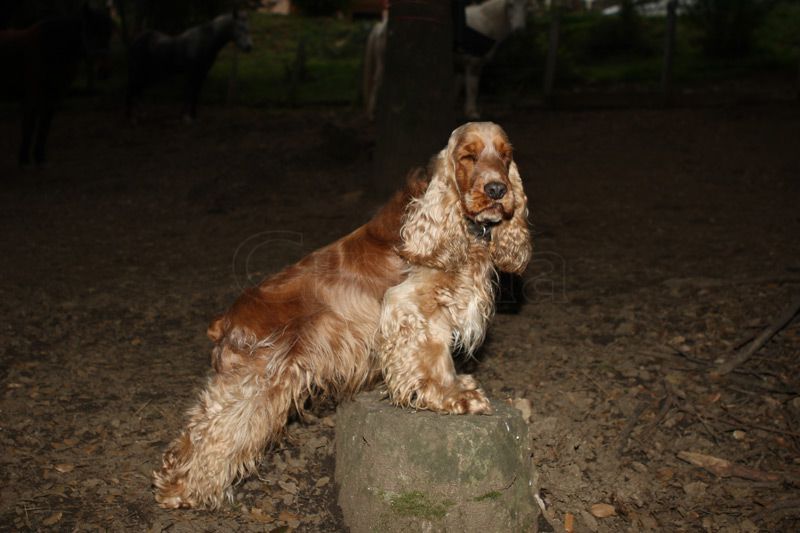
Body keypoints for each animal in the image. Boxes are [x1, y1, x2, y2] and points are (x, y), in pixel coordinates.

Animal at [0, 4, 113, 166]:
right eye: (91, 33)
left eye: (109, 34)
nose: (105, 70)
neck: (50, 49)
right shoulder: (32, 98)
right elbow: (29, 127)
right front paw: (24, 161)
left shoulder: (51, 98)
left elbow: (44, 126)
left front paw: (39, 159)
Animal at [363, 0, 528, 121]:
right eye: (510, 5)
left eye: (526, 6)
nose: (519, 29)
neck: (486, 23)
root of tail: (380, 26)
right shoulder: (474, 63)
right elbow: (472, 87)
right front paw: (472, 112)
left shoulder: (461, 65)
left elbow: (457, 87)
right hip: (383, 62)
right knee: (377, 82)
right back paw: (372, 113)